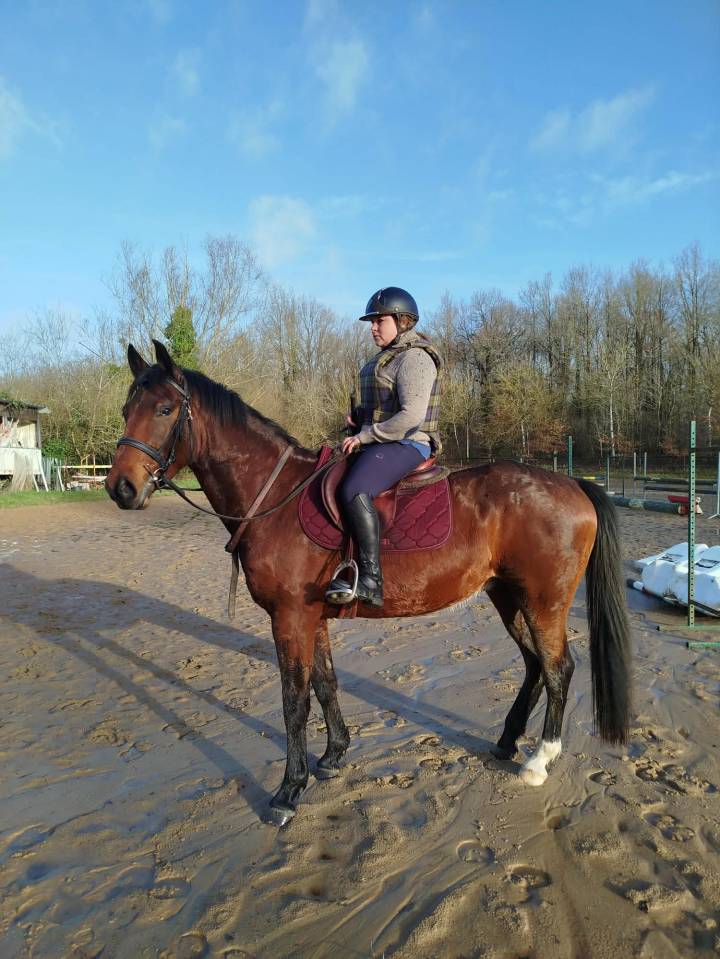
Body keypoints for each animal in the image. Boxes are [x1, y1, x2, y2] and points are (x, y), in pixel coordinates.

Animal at [106, 340, 632, 825]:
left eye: (165, 409)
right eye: (127, 409)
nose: (120, 489)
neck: (275, 498)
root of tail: (572, 484)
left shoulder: (289, 617)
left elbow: (294, 702)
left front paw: (288, 791)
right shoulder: (310, 616)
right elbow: (325, 684)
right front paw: (334, 754)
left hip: (544, 601)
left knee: (558, 668)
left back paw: (539, 761)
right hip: (508, 596)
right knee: (534, 664)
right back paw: (506, 742)